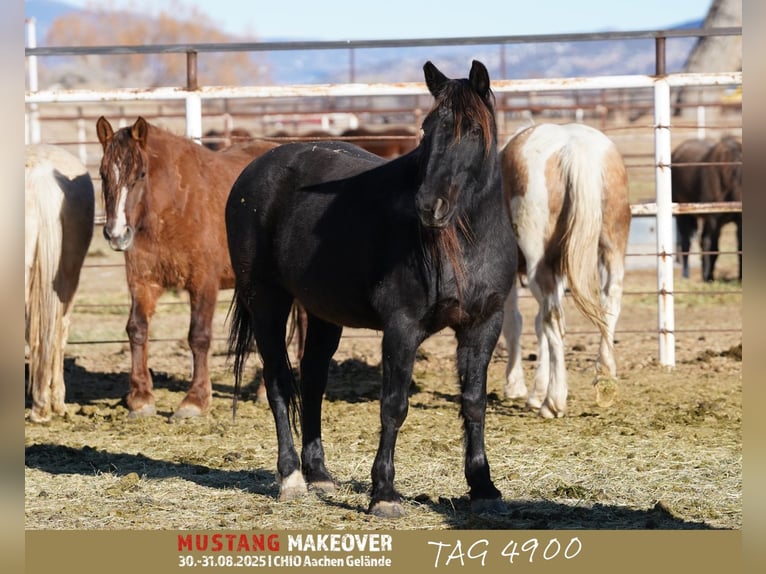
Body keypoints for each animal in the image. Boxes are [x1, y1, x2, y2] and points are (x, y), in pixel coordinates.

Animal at [96, 116, 286, 419]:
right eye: (103, 175)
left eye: (141, 174)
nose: (116, 234)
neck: (174, 205)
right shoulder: (143, 281)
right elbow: (137, 328)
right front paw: (141, 397)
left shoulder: (204, 283)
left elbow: (198, 336)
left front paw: (194, 400)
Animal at [225, 60, 517, 518]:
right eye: (426, 129)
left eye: (473, 130)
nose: (428, 206)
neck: (465, 242)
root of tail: (253, 171)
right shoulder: (402, 327)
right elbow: (393, 406)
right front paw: (384, 493)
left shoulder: (484, 324)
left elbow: (474, 401)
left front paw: (483, 485)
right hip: (266, 301)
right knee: (277, 381)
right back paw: (291, 478)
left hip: (321, 311)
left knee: (312, 378)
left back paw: (319, 474)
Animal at [500, 123, 631, 419]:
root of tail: (575, 148)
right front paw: (535, 391)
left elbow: (514, 323)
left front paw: (517, 386)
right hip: (611, 247)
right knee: (610, 304)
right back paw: (604, 376)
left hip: (537, 262)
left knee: (553, 320)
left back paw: (554, 401)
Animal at [671, 136, 742, 282]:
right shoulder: (713, 219)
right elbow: (712, 246)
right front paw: (708, 277)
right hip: (683, 214)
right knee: (687, 243)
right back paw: (687, 275)